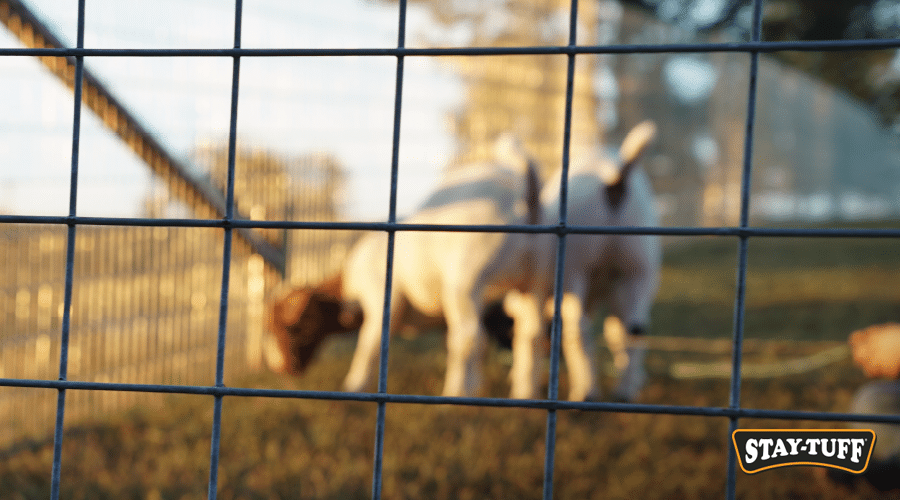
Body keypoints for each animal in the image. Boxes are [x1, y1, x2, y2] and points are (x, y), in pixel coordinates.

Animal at [264, 134, 536, 398]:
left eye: (297, 327)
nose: (281, 369)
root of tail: (517, 184)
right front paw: (478, 388)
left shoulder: (382, 298)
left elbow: (370, 344)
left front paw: (354, 386)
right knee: (524, 334)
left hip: (466, 282)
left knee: (470, 337)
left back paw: (454, 393)